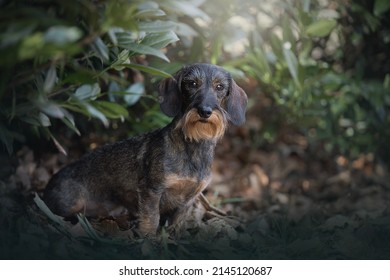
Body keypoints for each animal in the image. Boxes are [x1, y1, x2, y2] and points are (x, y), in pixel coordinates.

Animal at [42, 63, 248, 236]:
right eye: (192, 83)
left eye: (219, 87)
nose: (205, 111)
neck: (193, 146)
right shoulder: (152, 190)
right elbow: (152, 218)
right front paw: (147, 238)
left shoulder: (189, 199)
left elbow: (176, 222)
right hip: (72, 202)